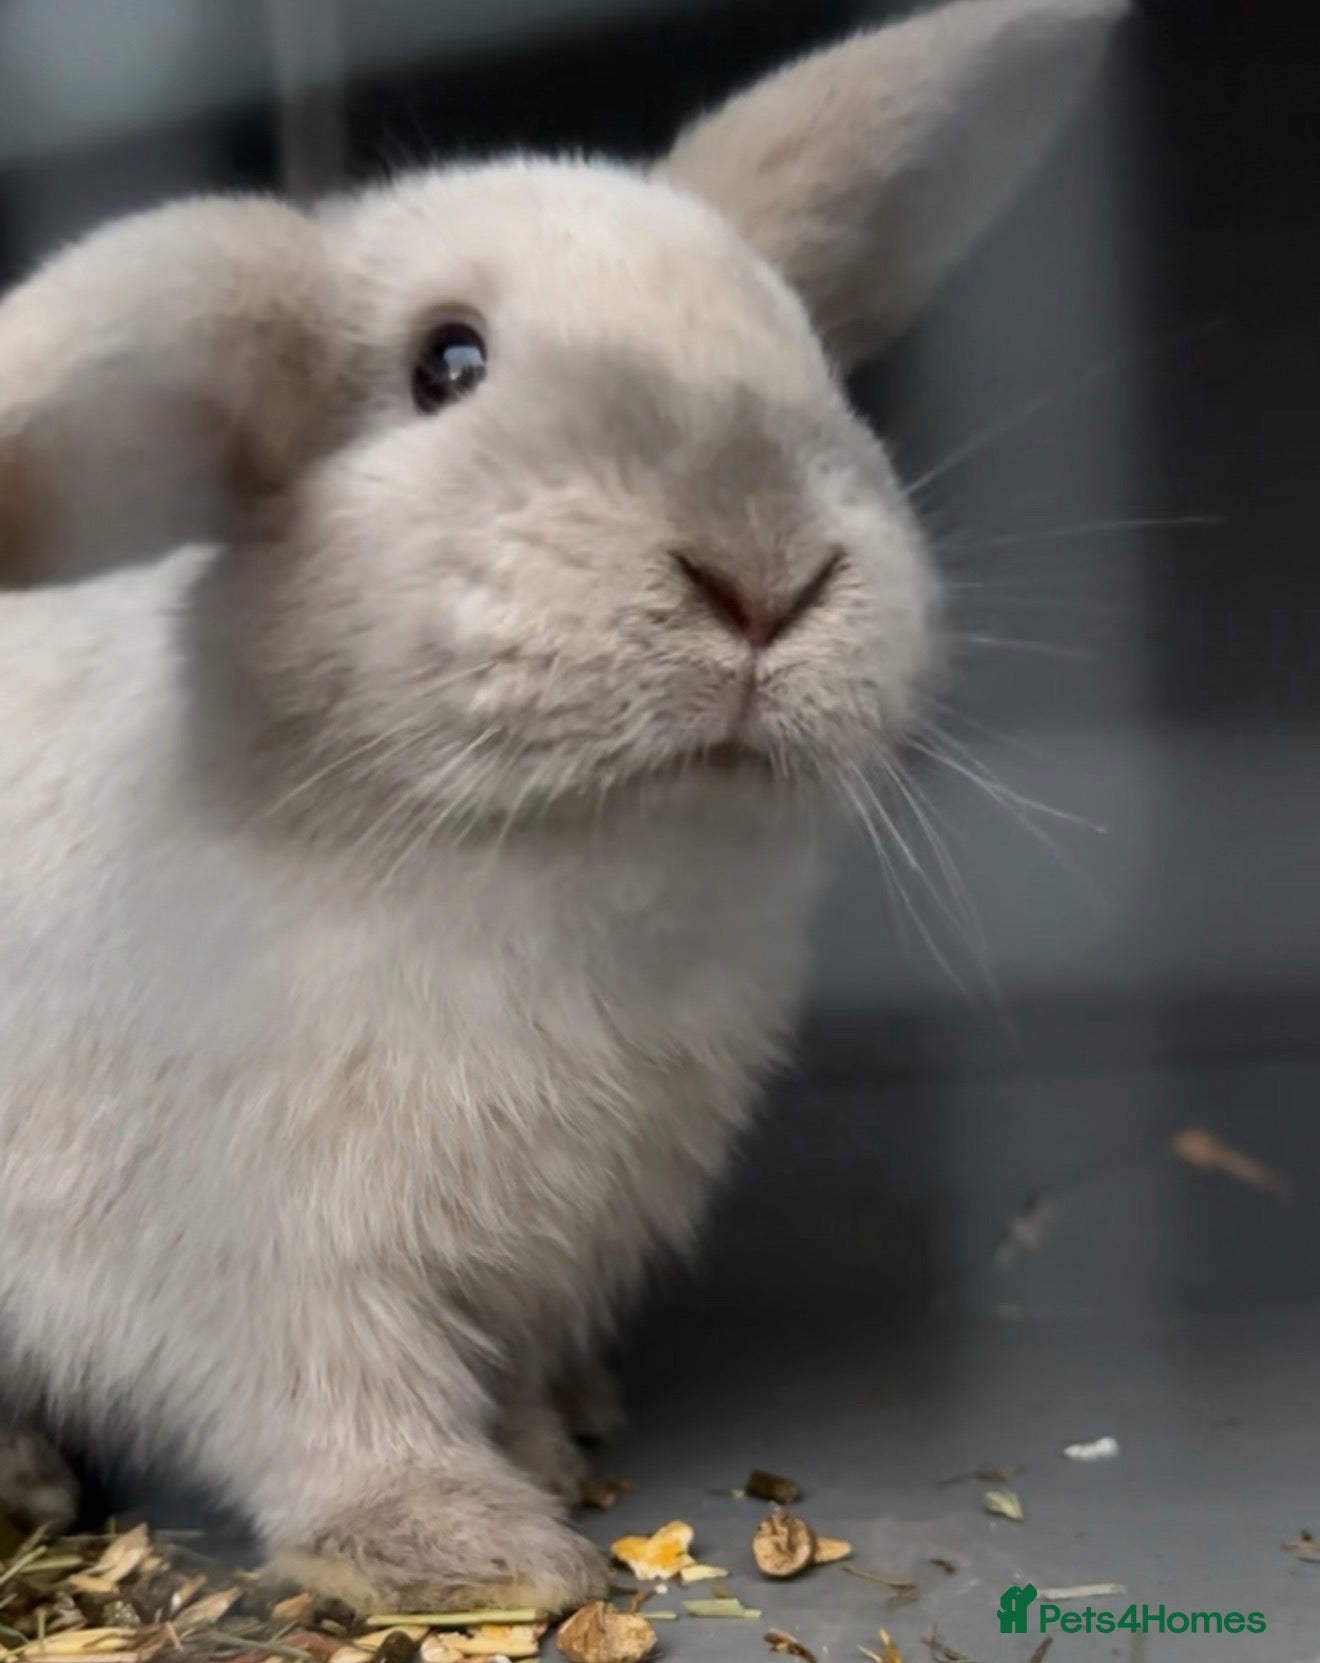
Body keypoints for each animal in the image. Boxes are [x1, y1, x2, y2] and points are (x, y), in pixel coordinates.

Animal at [0, 0, 1124, 1614]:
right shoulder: (258, 1272)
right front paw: (474, 1547)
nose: (763, 570)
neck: (569, 870)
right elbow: (331, 1409)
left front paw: (542, 1436)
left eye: (806, 352)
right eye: (447, 364)